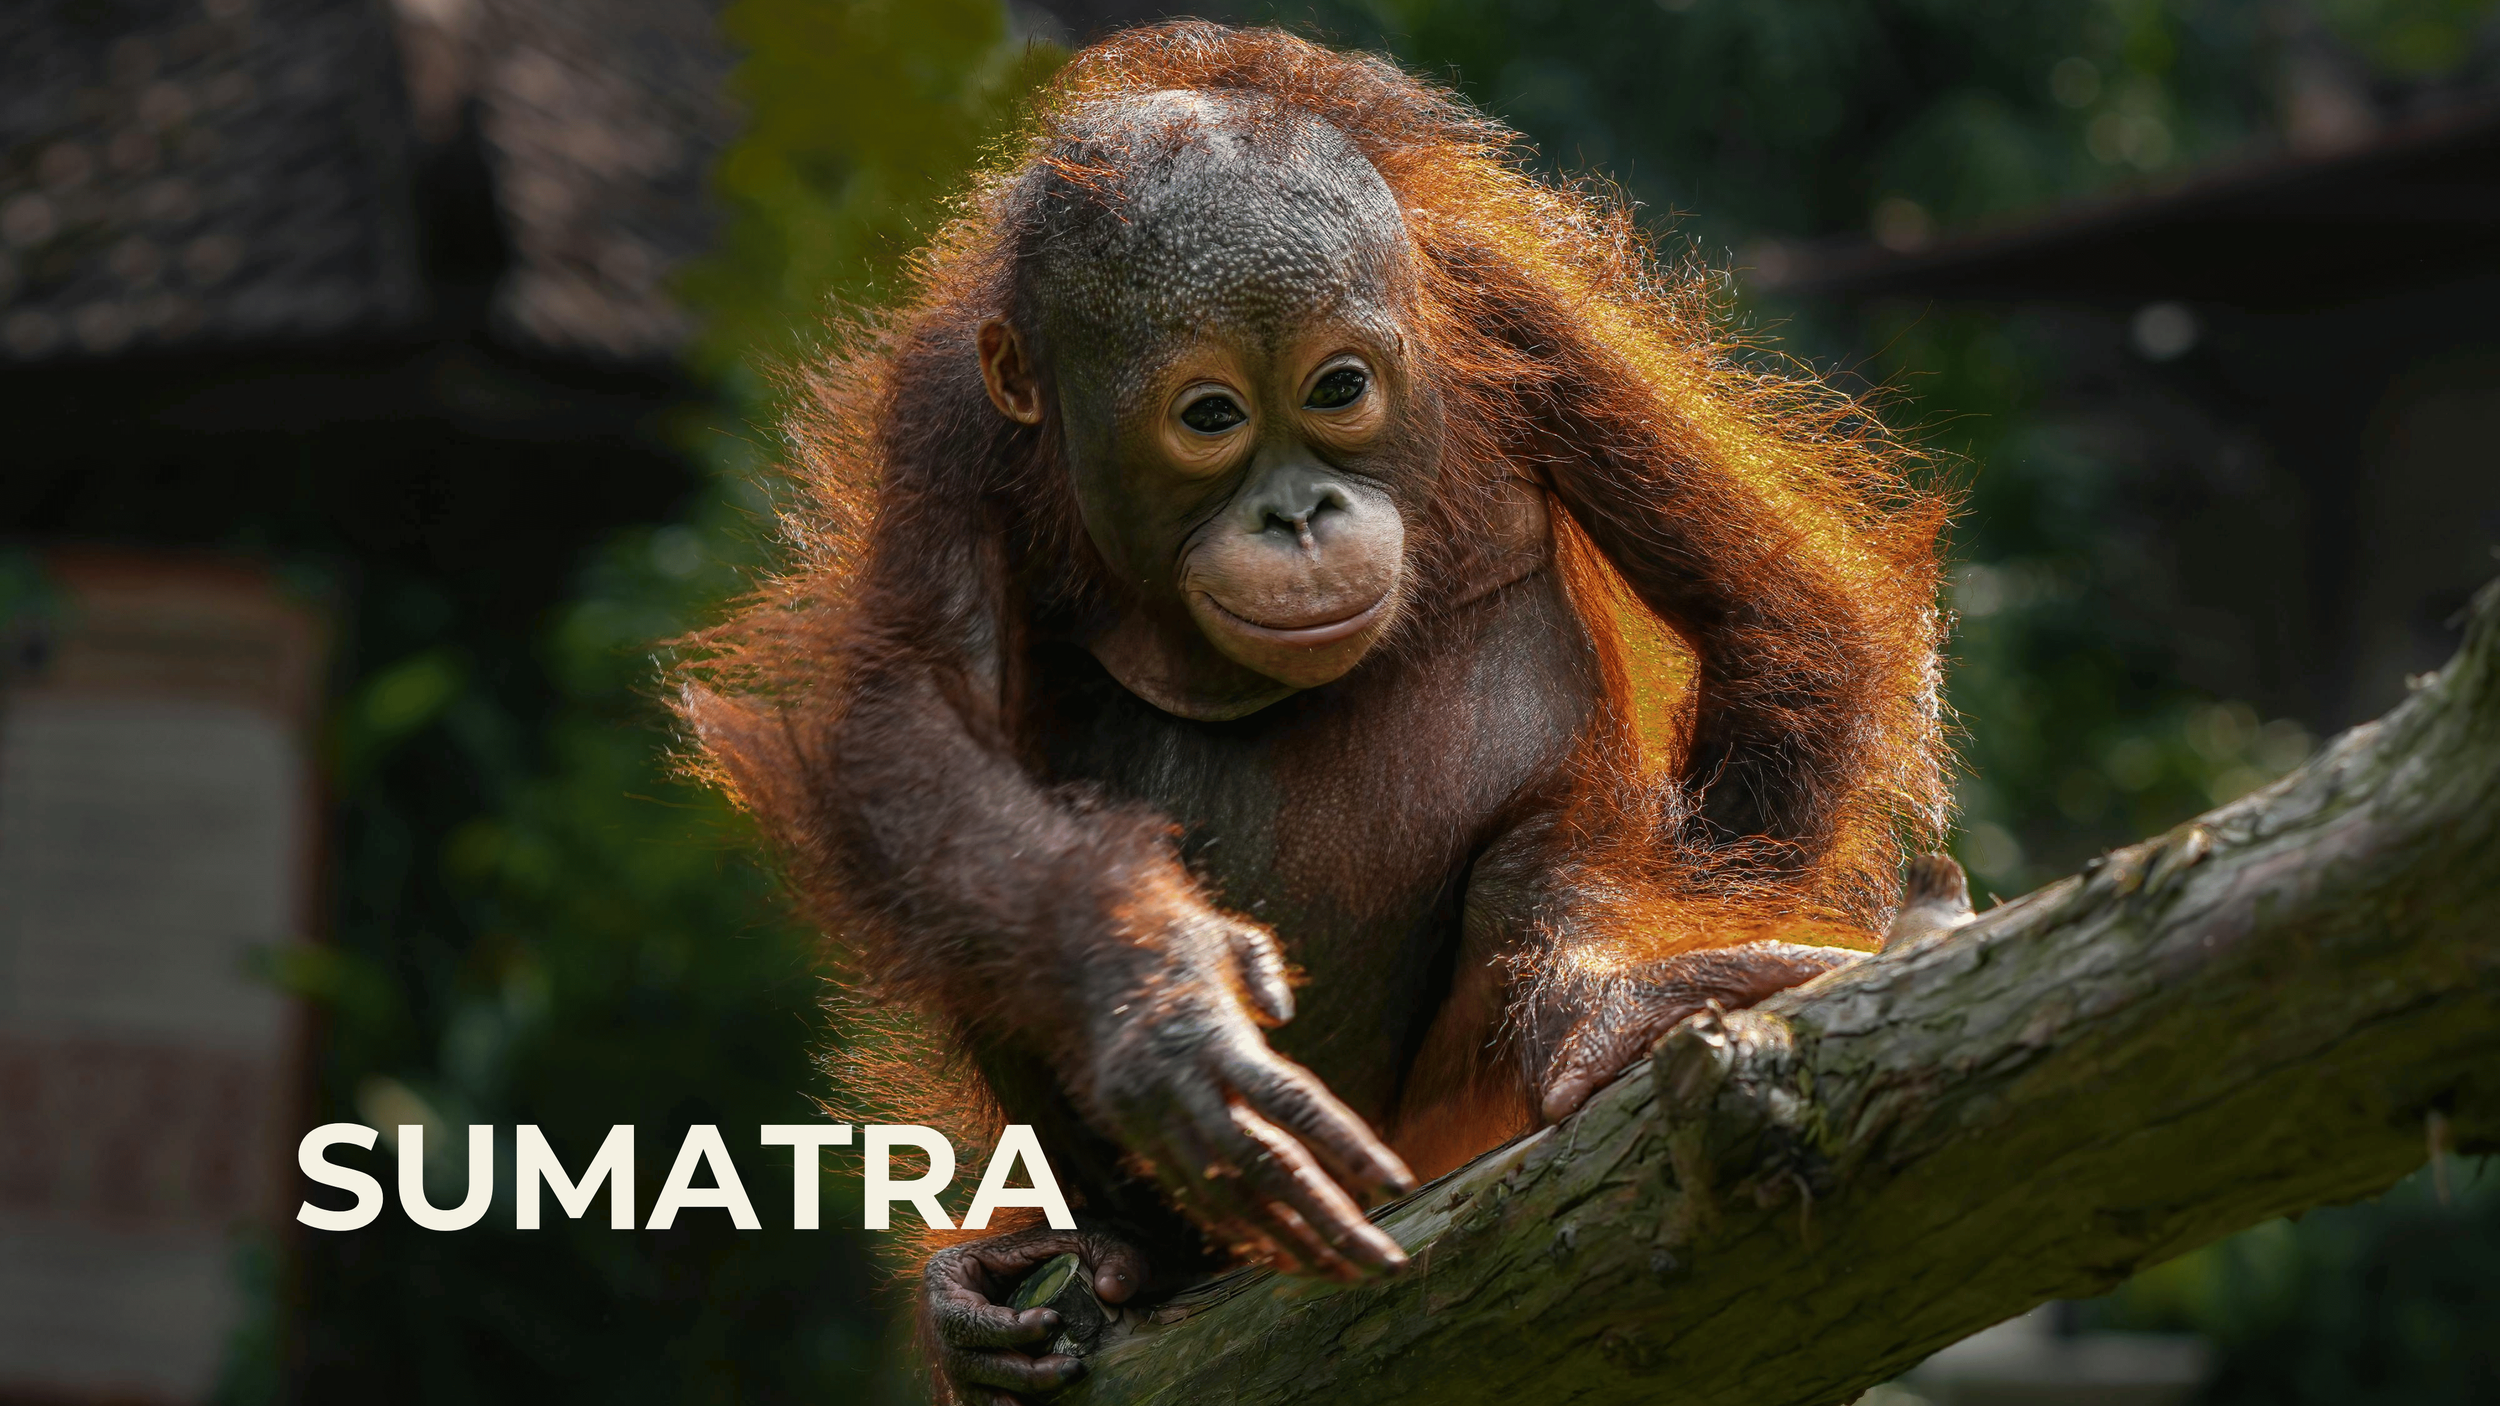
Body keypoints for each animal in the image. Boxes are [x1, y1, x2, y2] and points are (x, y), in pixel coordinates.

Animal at [678, 24, 1949, 1404]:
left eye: (1339, 388)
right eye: (1210, 416)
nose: (1298, 513)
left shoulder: (1513, 303)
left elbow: (1772, 611)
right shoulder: (944, 418)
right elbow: (914, 726)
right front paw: (1160, 1006)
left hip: (1442, 1111)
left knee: (1549, 842)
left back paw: (1593, 1007)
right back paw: (1117, 1248)